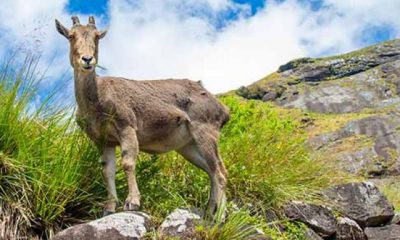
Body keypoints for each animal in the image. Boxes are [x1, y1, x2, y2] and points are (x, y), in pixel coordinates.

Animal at [56, 16, 231, 216]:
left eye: (97, 36)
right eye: (71, 35)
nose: (87, 59)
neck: (97, 100)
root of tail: (223, 110)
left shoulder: (127, 126)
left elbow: (127, 163)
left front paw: (132, 202)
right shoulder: (103, 140)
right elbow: (107, 170)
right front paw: (109, 207)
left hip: (205, 131)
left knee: (220, 172)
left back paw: (219, 215)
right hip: (187, 146)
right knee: (211, 170)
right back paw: (210, 212)